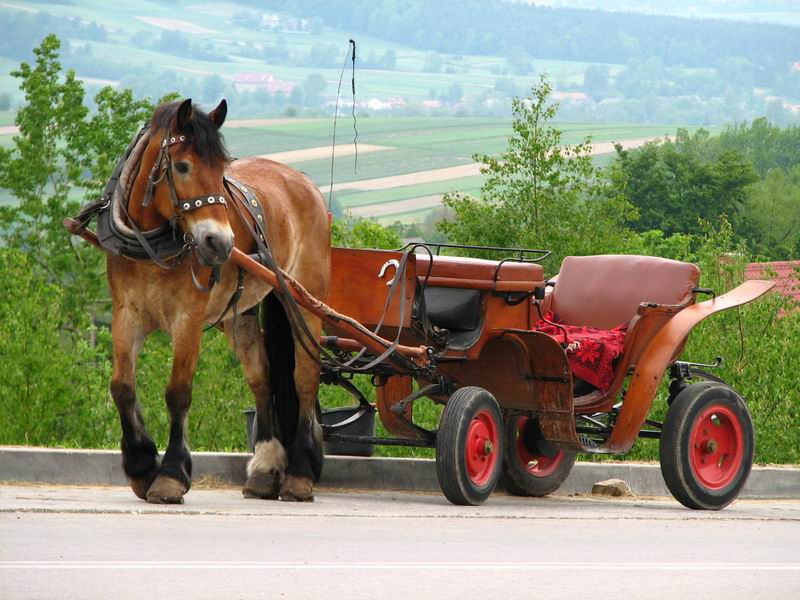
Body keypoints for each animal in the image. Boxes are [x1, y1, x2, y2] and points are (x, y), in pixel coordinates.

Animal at [108, 97, 330, 502]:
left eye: (222, 169)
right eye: (182, 166)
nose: (220, 243)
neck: (153, 247)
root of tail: (302, 180)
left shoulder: (188, 320)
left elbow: (178, 393)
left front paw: (171, 475)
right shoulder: (126, 315)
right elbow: (122, 387)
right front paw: (141, 466)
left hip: (305, 301)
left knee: (304, 376)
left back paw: (300, 472)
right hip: (240, 312)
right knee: (262, 377)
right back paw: (265, 468)